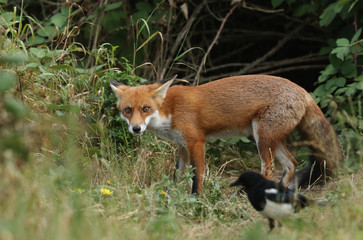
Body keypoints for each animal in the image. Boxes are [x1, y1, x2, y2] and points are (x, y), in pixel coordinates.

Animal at [109, 75, 342, 195]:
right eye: (128, 110)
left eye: (145, 109)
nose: (136, 129)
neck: (170, 109)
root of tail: (303, 90)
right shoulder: (182, 146)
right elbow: (177, 175)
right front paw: (171, 195)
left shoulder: (196, 142)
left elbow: (197, 176)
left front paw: (196, 198)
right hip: (272, 140)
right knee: (292, 164)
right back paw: (278, 192)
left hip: (262, 137)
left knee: (269, 167)